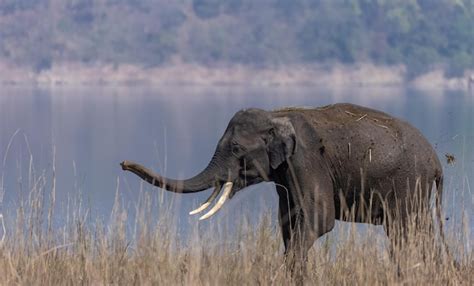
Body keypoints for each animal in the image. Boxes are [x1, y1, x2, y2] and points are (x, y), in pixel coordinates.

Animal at [120, 102, 446, 266]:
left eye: (236, 149)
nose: (123, 164)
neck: (277, 115)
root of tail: (436, 161)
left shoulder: (306, 159)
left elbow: (319, 220)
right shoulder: (285, 173)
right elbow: (288, 220)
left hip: (409, 183)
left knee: (406, 231)